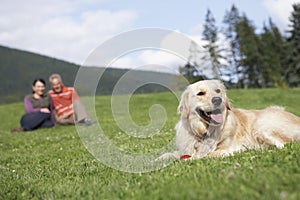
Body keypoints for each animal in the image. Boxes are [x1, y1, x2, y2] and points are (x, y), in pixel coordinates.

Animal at [161, 79, 300, 159]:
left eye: (218, 91)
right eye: (200, 93)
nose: (218, 100)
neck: (203, 132)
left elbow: (204, 155)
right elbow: (169, 154)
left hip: (261, 124)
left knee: (282, 145)